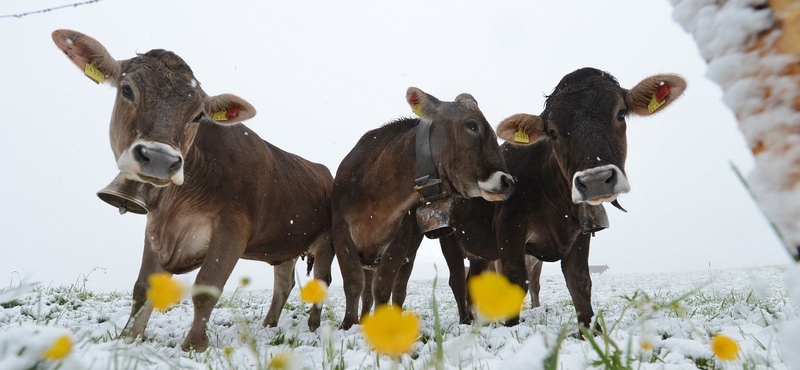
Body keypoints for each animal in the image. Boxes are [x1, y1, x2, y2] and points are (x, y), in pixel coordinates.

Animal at [52, 30, 334, 352]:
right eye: (127, 90)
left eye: (199, 115)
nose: (160, 158)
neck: (177, 203)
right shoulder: (156, 228)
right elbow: (143, 287)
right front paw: (128, 339)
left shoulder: (233, 228)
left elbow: (206, 287)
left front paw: (194, 346)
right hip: (285, 243)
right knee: (283, 284)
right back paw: (269, 325)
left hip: (327, 241)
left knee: (322, 281)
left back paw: (313, 327)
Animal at [330, 88, 512, 328]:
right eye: (472, 125)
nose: (508, 181)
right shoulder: (340, 230)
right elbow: (353, 283)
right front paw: (348, 325)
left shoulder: (401, 237)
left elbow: (384, 285)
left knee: (399, 289)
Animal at [440, 68, 684, 328]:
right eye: (552, 132)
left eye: (620, 113)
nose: (595, 180)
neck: (554, 196)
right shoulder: (510, 226)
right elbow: (515, 281)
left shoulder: (578, 232)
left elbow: (579, 281)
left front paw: (592, 330)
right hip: (449, 239)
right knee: (457, 280)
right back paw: (466, 322)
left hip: (478, 251)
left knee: (472, 281)